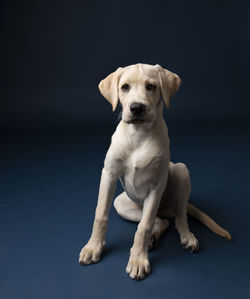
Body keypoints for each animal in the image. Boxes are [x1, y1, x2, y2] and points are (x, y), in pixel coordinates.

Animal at [79, 63, 231, 282]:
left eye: (151, 86)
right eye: (125, 87)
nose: (136, 108)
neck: (138, 135)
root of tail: (167, 209)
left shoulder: (156, 186)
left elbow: (144, 226)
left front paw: (138, 261)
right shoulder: (109, 174)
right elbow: (101, 214)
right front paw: (93, 248)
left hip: (181, 172)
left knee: (178, 217)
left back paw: (187, 237)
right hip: (122, 204)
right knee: (162, 221)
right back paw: (153, 238)